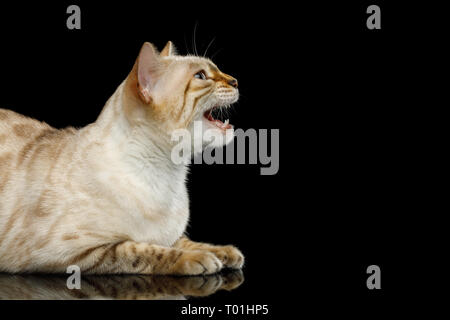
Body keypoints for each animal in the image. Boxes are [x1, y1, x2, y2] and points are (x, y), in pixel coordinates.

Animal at [0, 40, 244, 276]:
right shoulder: (66, 250)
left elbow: (183, 241)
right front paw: (197, 259)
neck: (169, 174)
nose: (235, 81)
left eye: (216, 69)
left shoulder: (171, 235)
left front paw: (224, 252)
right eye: (201, 76)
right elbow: (141, 249)